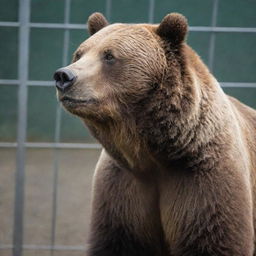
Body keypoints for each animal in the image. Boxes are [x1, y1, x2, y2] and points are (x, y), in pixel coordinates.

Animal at [53, 11, 256, 254]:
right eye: (79, 54)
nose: (63, 76)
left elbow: (213, 239)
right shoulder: (121, 188)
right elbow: (116, 241)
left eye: (109, 56)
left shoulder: (205, 179)